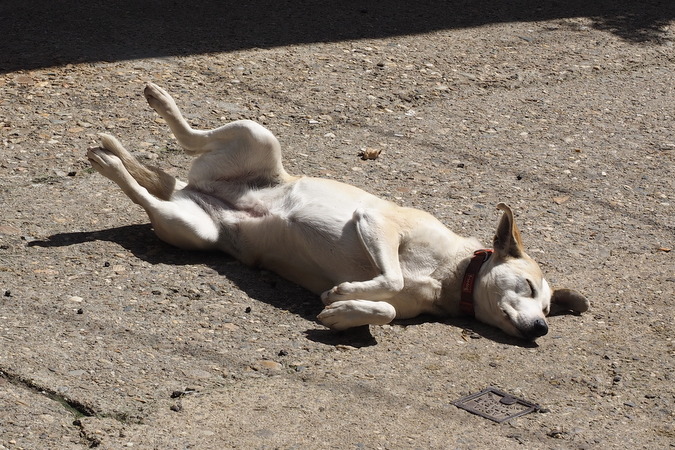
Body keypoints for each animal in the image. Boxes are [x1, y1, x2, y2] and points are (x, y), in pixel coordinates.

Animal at [87, 82, 588, 340]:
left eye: (548, 306)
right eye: (527, 287)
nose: (542, 327)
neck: (451, 274)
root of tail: (199, 188)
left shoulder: (400, 301)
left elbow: (383, 310)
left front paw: (343, 309)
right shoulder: (378, 222)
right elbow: (392, 276)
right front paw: (348, 290)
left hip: (193, 227)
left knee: (153, 189)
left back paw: (115, 155)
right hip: (256, 135)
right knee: (182, 145)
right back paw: (128, 135)